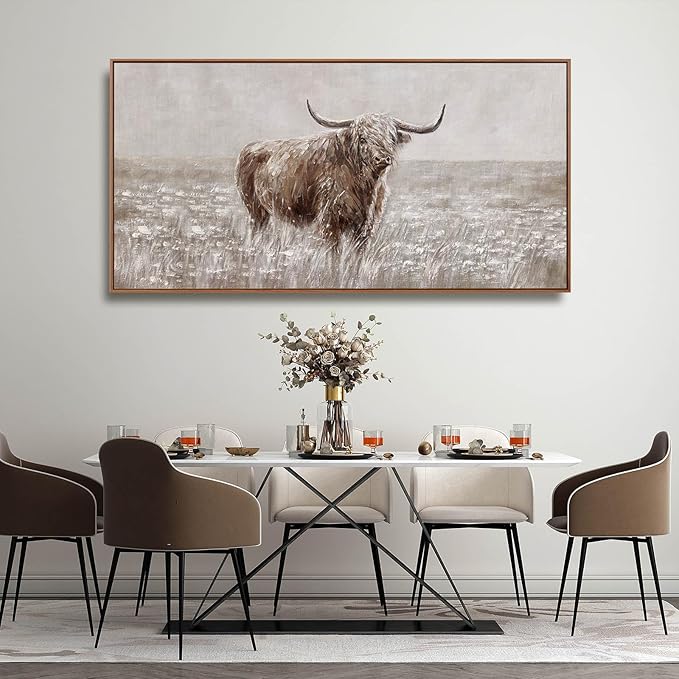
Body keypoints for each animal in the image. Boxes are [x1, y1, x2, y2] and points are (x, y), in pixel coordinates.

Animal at [235, 100, 445, 249]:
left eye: (391, 139)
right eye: (363, 138)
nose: (382, 159)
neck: (366, 187)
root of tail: (250, 146)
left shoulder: (364, 229)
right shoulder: (330, 223)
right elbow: (334, 260)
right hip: (255, 209)